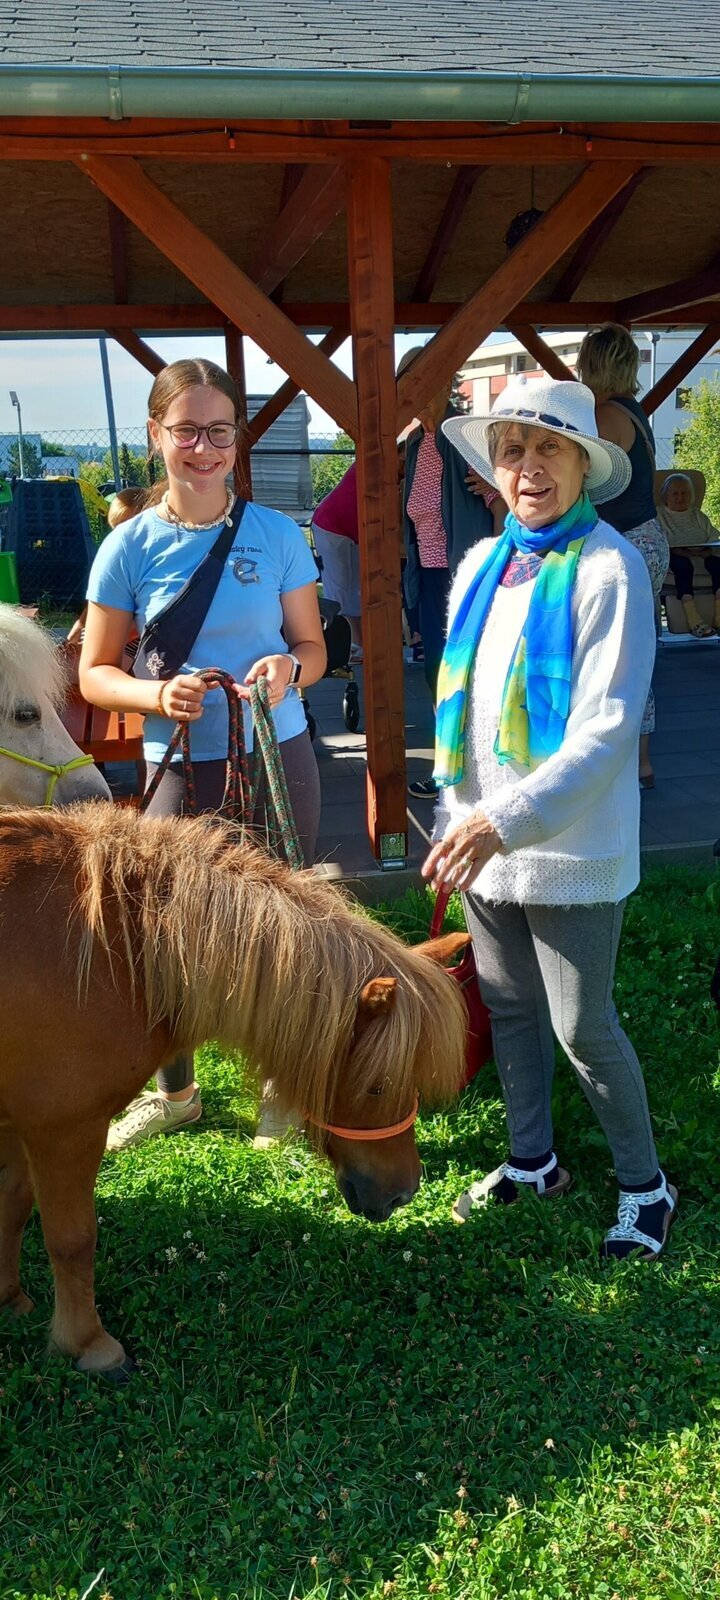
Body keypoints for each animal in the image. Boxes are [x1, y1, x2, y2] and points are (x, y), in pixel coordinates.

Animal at [0, 803, 469, 1378]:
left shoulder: (20, 1125)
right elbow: (72, 1240)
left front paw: (10, 1300)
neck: (117, 951)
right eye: (378, 1086)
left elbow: (12, 1205)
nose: (404, 1193)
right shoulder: (64, 1132)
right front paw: (88, 1344)